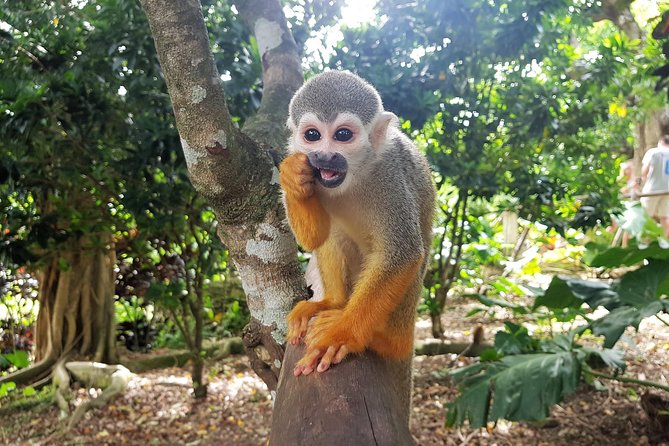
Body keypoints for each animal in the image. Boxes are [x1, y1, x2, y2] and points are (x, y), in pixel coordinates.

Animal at [278, 70, 436, 379]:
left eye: (343, 135)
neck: (356, 174)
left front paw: (343, 335)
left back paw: (380, 339)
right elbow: (316, 238)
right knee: (333, 235)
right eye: (312, 135)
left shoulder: (391, 175)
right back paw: (334, 303)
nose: (324, 156)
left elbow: (402, 253)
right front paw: (292, 176)